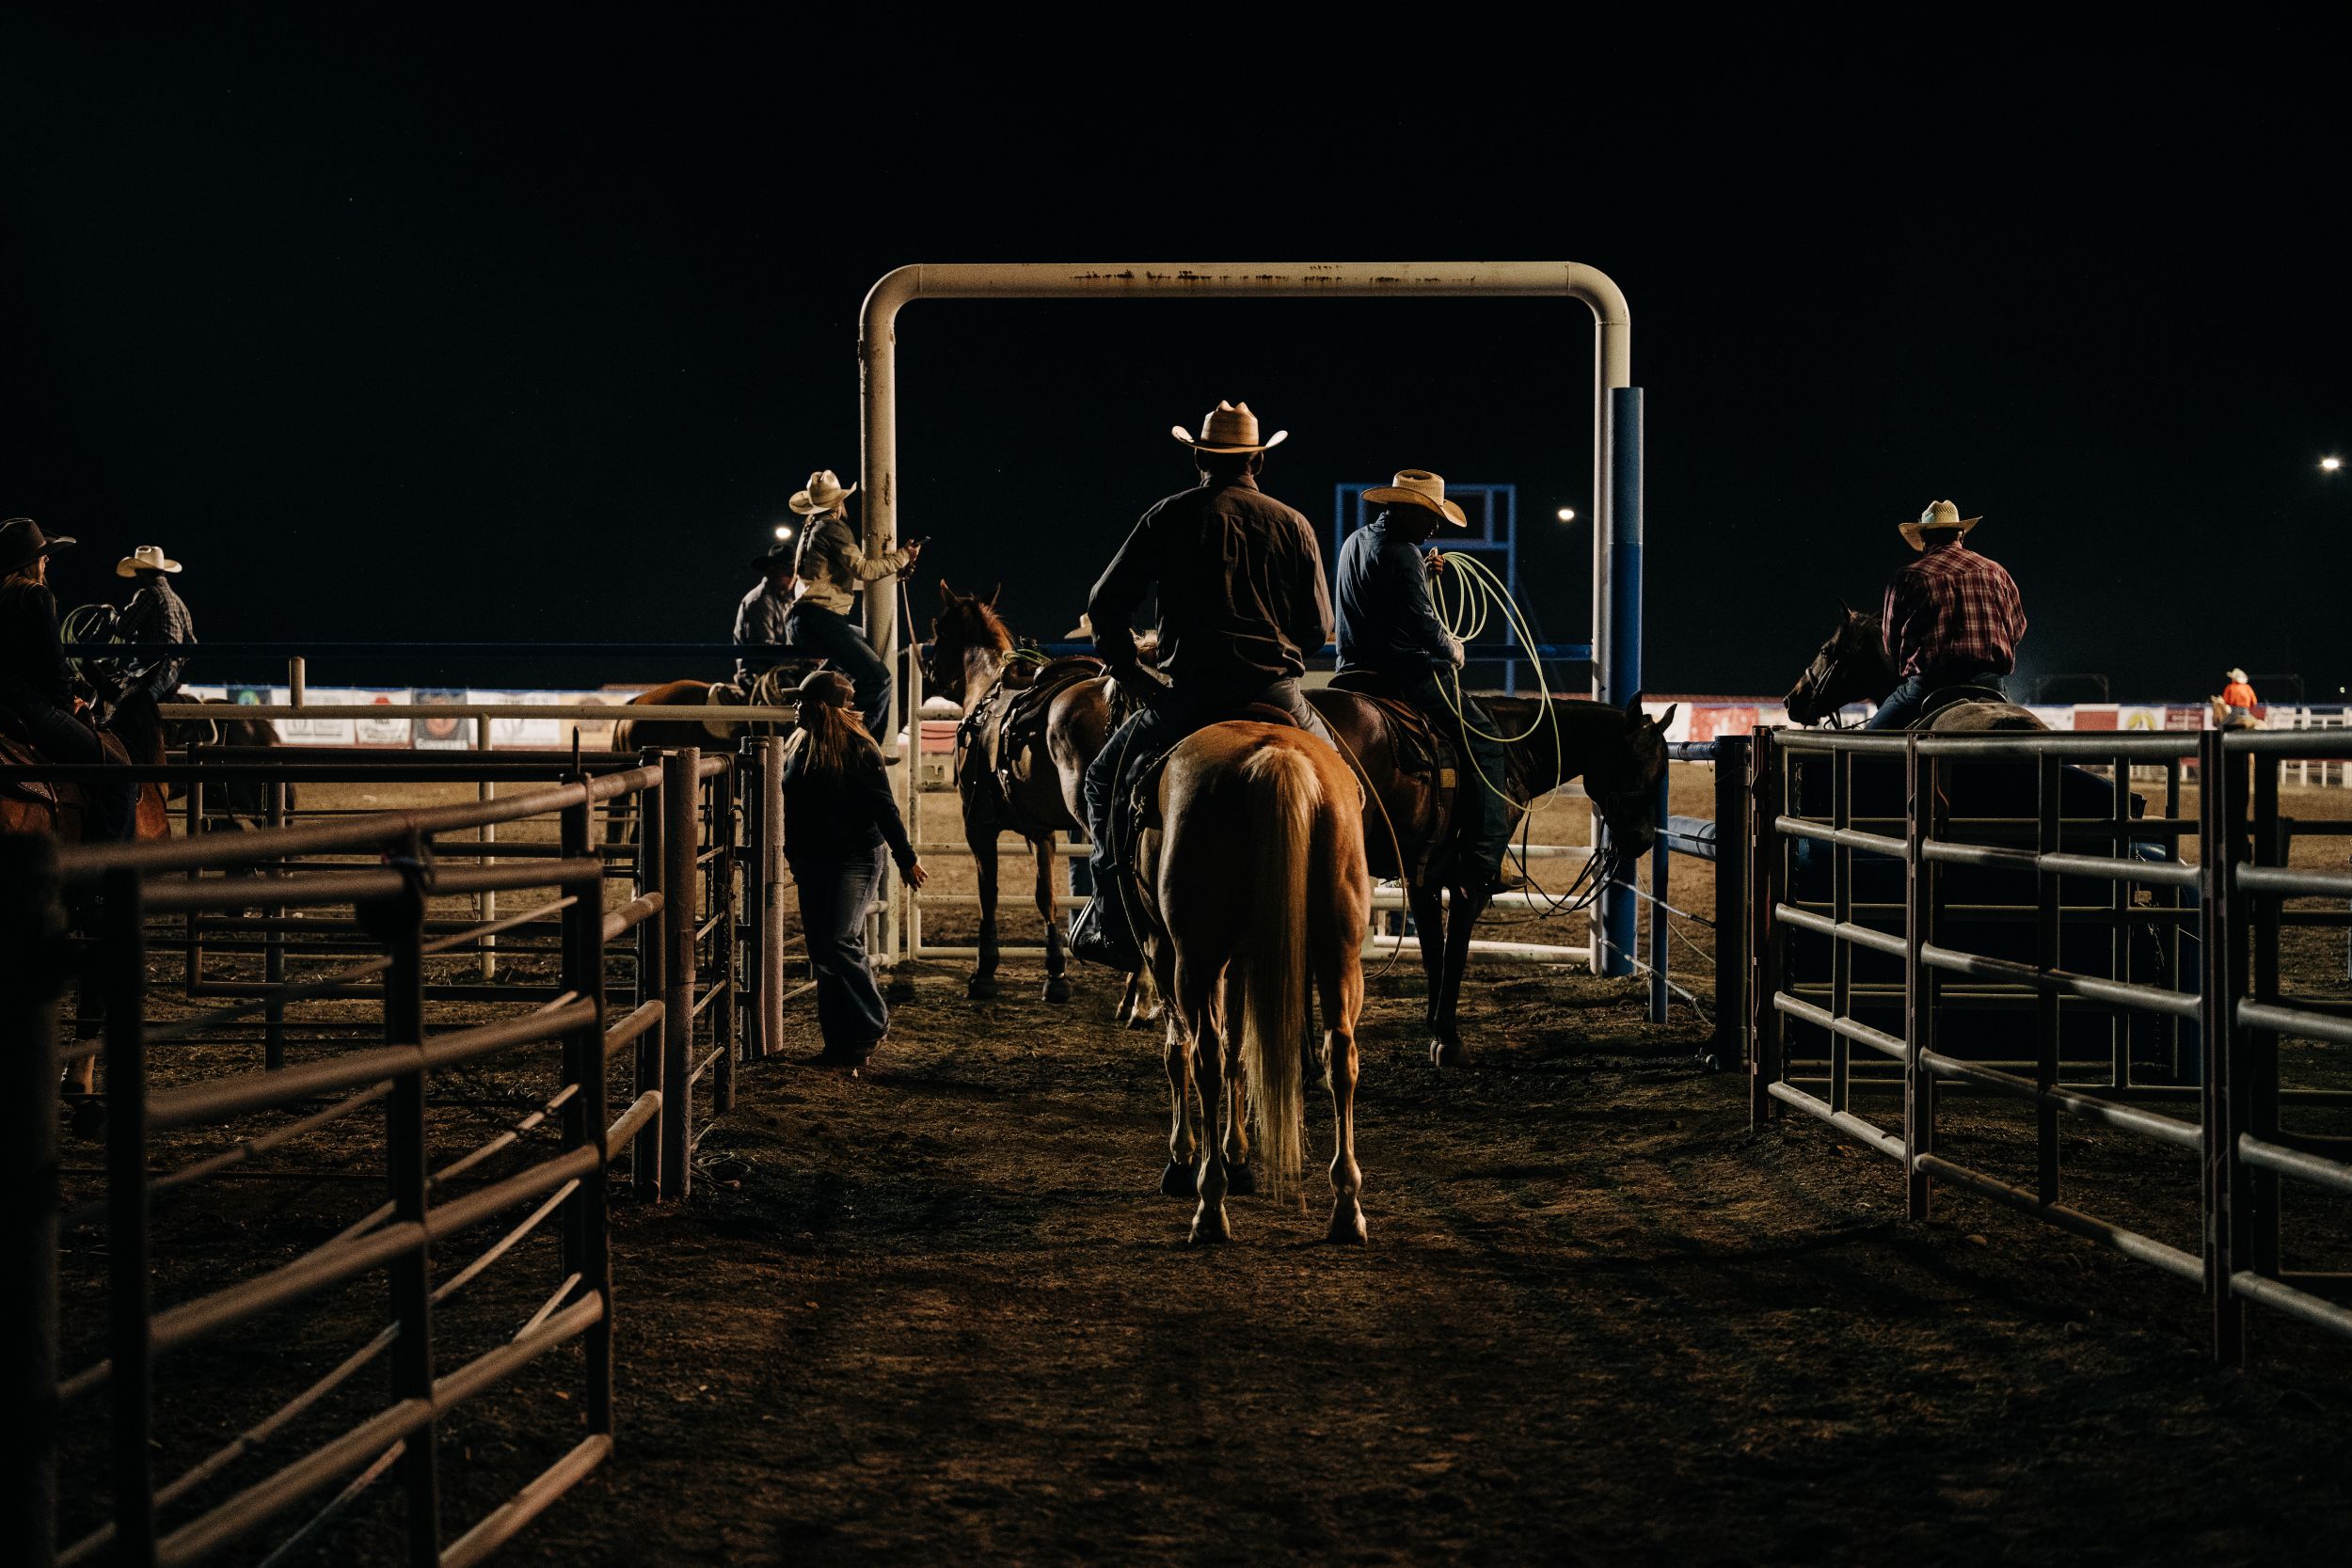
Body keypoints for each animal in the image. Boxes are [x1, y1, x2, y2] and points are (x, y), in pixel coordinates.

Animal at [927, 580, 1167, 1020]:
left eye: (940, 627)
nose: (931, 671)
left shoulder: (977, 825)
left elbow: (989, 894)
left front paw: (983, 973)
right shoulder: (1039, 830)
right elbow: (1046, 896)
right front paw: (1056, 974)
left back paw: (1137, 994)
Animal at [1129, 723, 1374, 1250]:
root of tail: (1274, 756)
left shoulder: (1162, 947)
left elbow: (1183, 1052)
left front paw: (1184, 1158)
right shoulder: (1243, 958)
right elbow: (1240, 1048)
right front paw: (1238, 1151)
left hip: (1194, 961)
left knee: (1205, 1059)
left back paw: (1209, 1206)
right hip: (1339, 953)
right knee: (1341, 1057)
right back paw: (1346, 1208)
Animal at [1308, 690, 1675, 1071]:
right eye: (1635, 761)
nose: (1643, 839)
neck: (1513, 747)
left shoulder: (1423, 877)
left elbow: (1434, 953)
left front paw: (1435, 1030)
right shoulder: (1470, 882)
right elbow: (1455, 952)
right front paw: (1448, 1039)